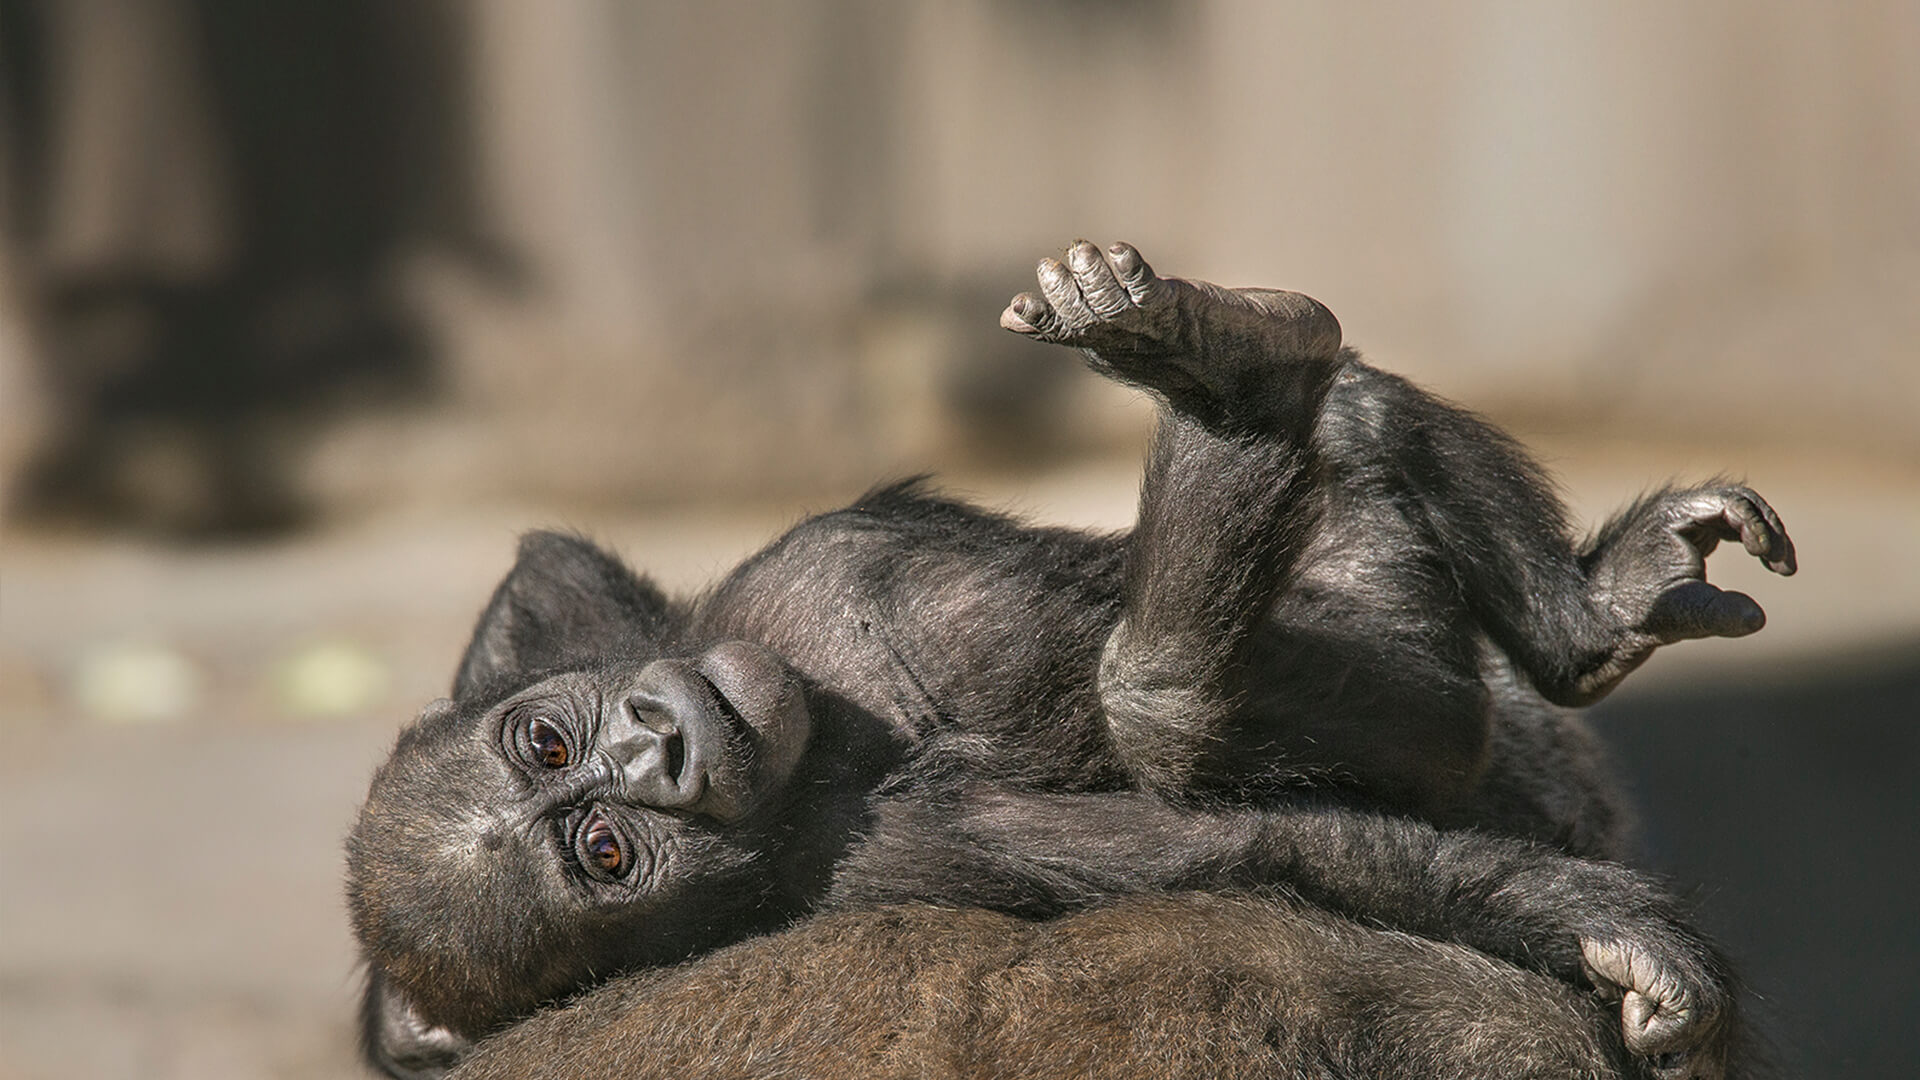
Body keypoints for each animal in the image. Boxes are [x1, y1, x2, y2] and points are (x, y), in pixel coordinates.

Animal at [341, 239, 1781, 1068]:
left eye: (549, 742)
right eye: (603, 852)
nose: (660, 747)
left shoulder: (636, 628)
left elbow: (549, 571)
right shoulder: (904, 857)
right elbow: (1265, 848)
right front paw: (1612, 932)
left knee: (1355, 419)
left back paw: (1580, 608)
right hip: (1430, 693)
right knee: (1173, 701)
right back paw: (1251, 394)